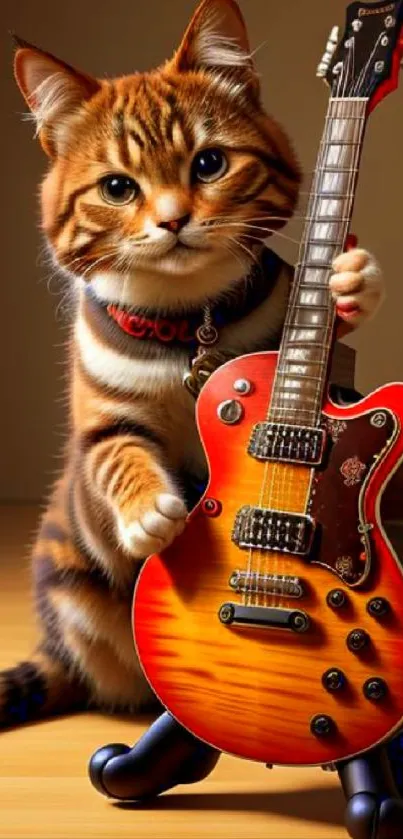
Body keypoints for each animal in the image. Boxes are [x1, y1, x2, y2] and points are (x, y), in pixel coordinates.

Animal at [3, 0, 386, 728]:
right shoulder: (98, 437)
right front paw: (152, 510)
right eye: (117, 188)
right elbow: (116, 455)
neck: (186, 328)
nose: (174, 220)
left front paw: (353, 280)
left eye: (209, 164)